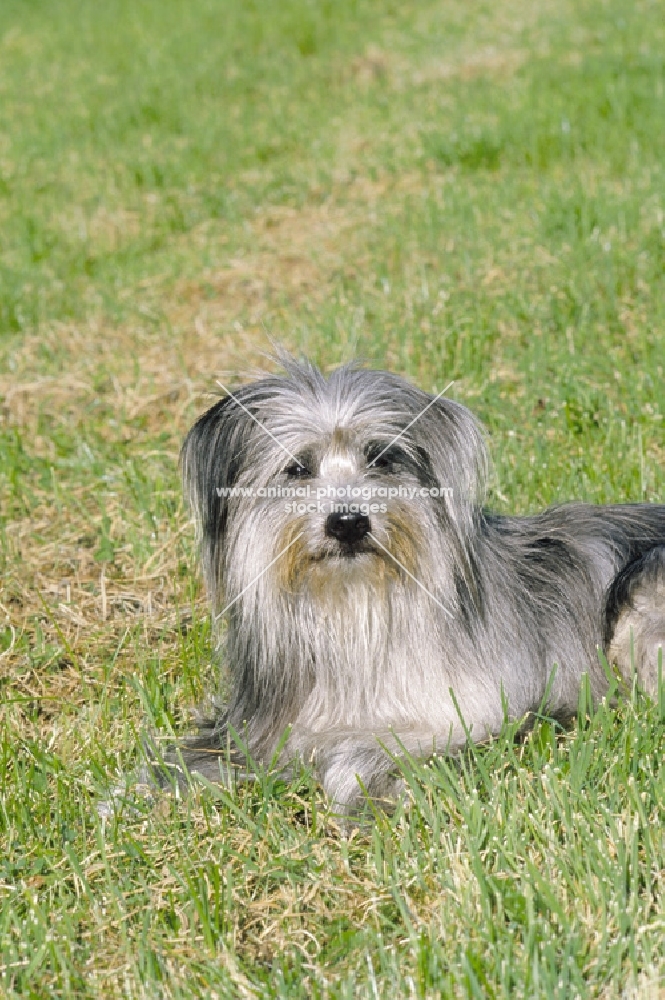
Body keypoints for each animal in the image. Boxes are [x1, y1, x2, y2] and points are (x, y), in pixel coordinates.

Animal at [172, 358, 664, 812]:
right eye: (297, 468)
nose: (348, 523)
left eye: (381, 457)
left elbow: (353, 757)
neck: (356, 607)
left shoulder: (467, 714)